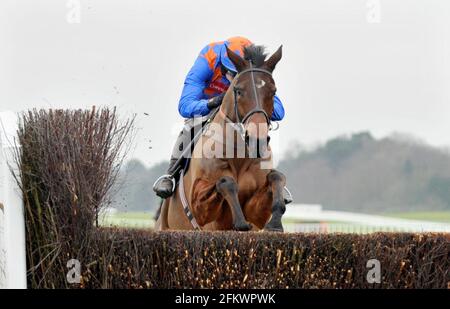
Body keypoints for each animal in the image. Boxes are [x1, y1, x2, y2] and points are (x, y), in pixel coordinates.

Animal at [155, 44, 286, 230]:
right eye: (238, 91)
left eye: (273, 92)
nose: (257, 140)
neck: (238, 156)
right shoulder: (199, 206)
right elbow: (225, 182)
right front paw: (240, 222)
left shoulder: (256, 213)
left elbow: (276, 177)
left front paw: (275, 222)